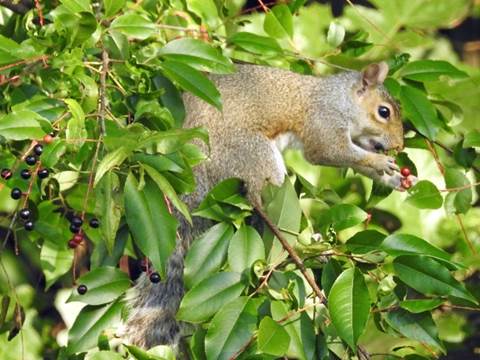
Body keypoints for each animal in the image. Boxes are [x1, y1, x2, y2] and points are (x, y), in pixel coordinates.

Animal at [124, 62, 416, 354]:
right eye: (384, 112)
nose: (398, 145)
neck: (339, 99)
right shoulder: (323, 123)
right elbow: (330, 152)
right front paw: (379, 163)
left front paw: (396, 178)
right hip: (254, 157)